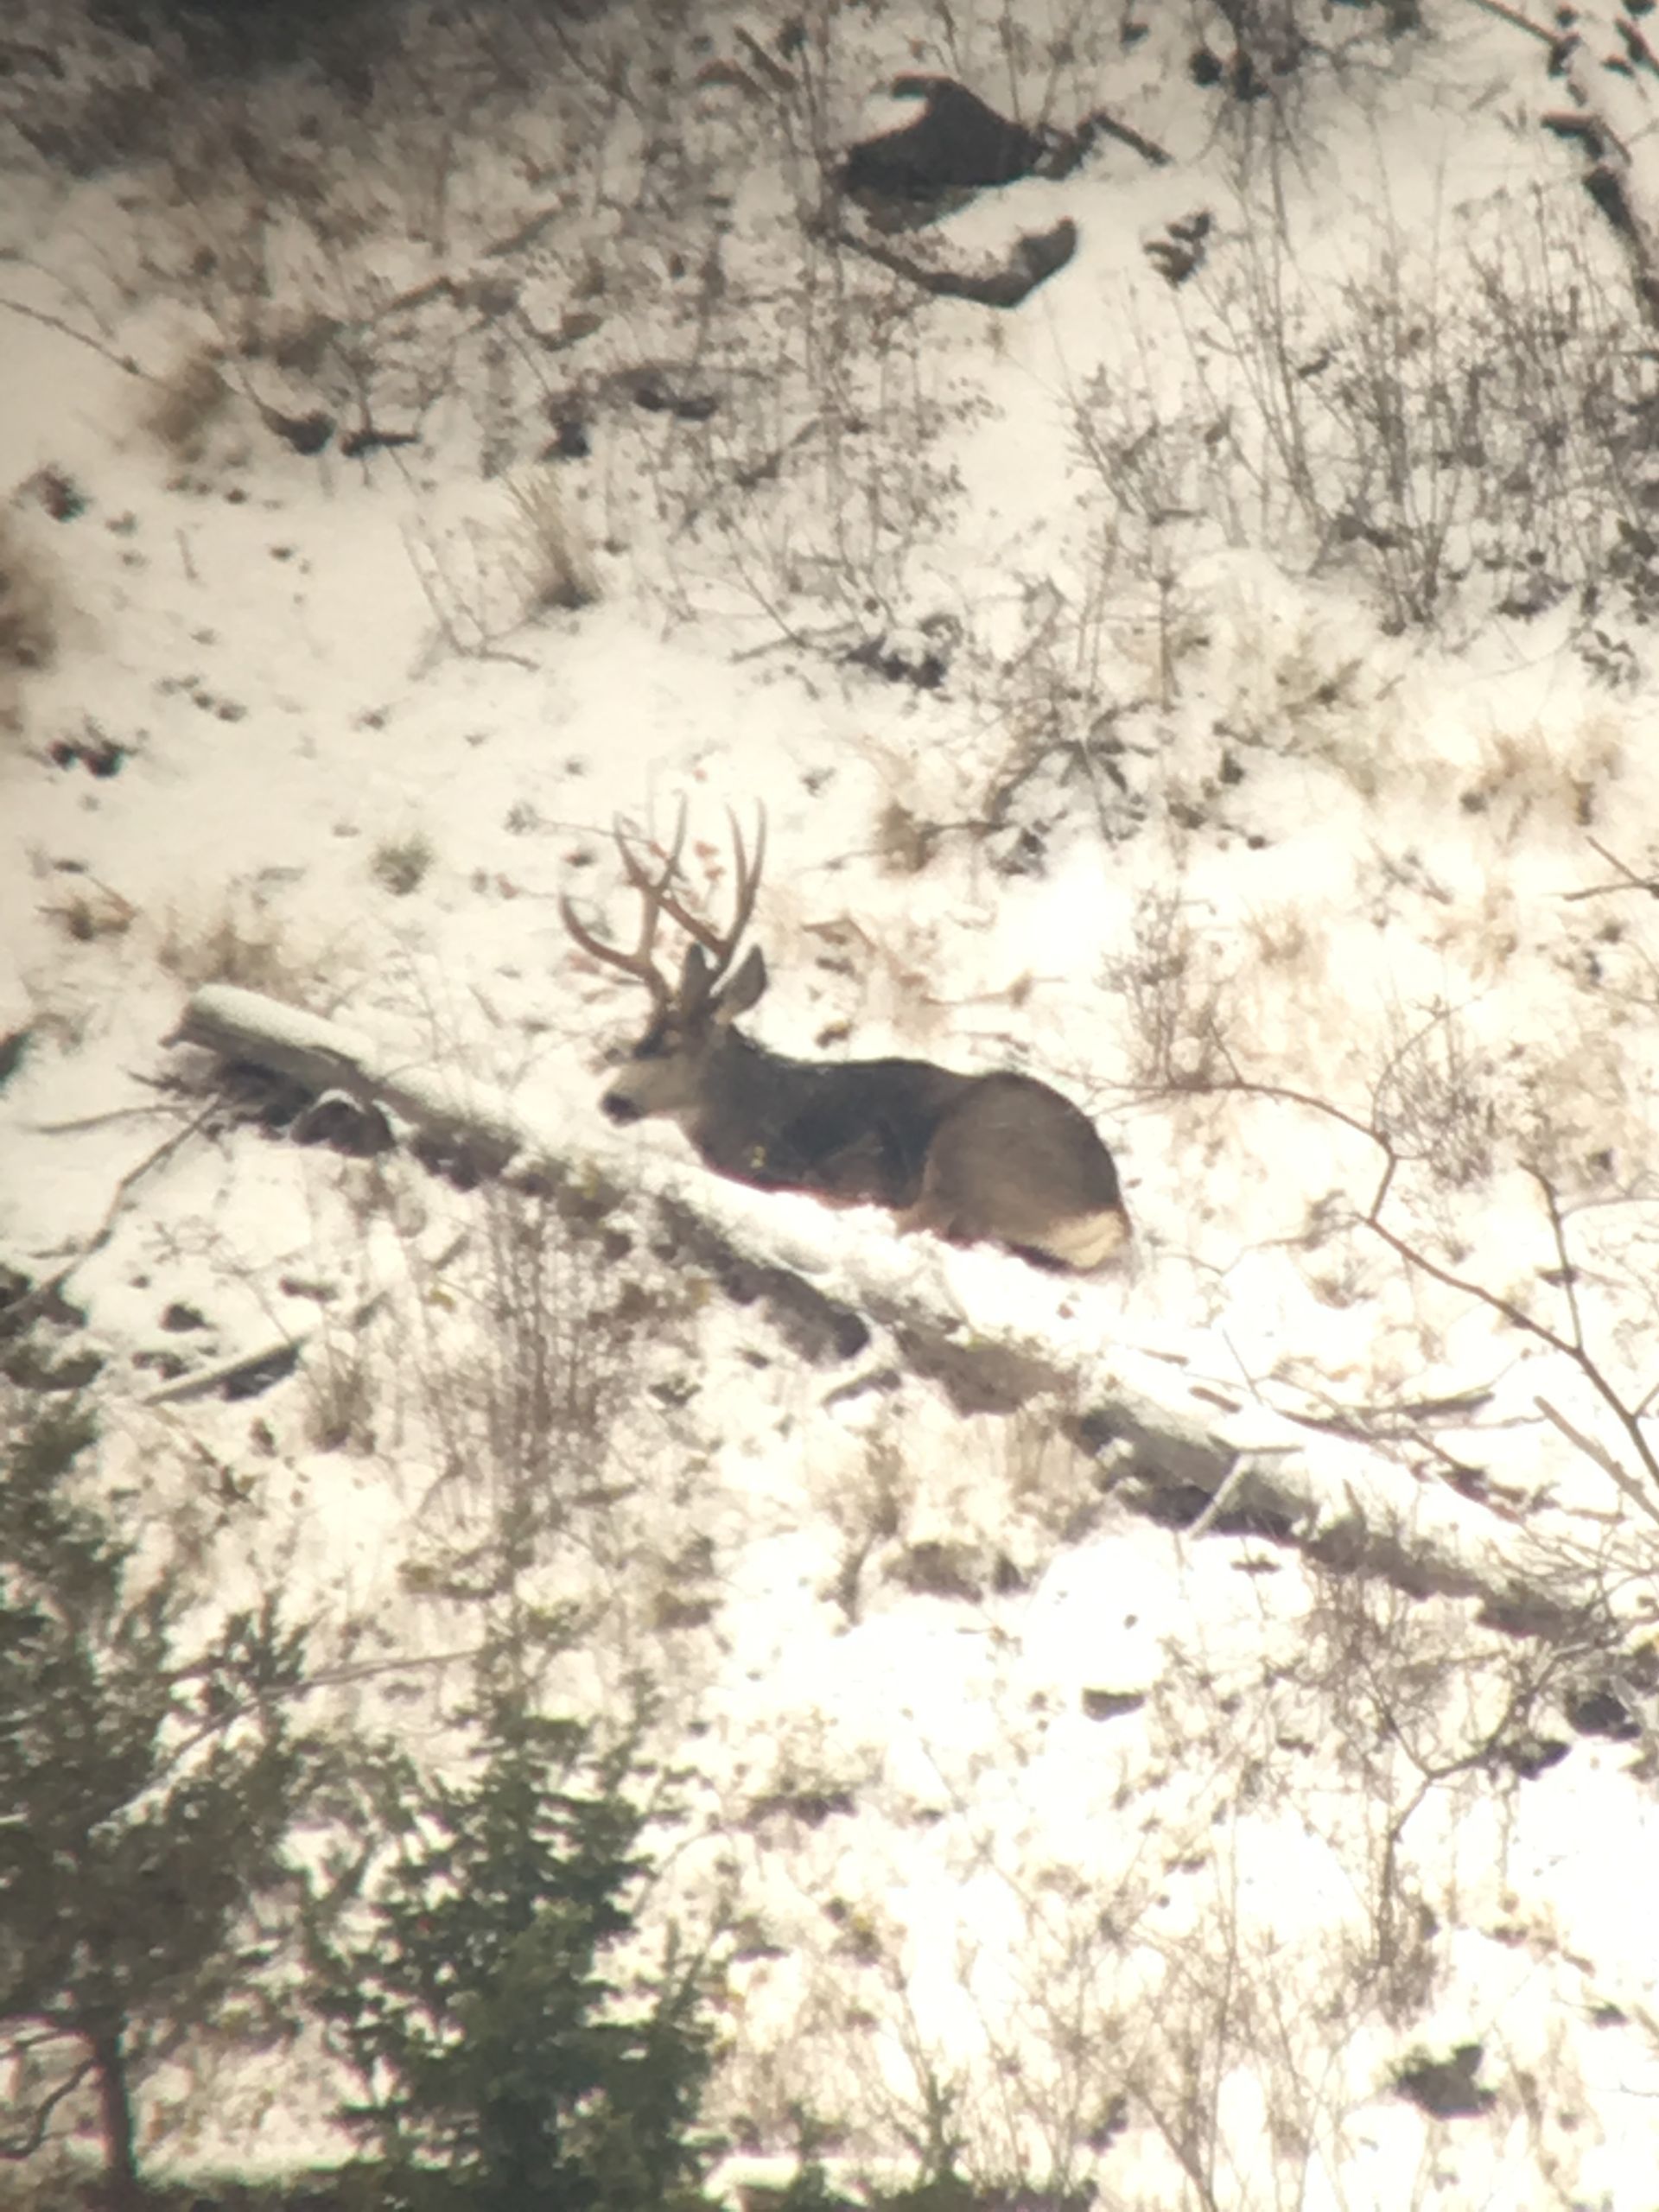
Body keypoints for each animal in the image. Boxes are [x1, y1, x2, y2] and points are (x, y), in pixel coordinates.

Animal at [559, 807, 1130, 1272]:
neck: (762, 1110)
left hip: (970, 1157)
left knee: (916, 1220)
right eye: (641, 1037)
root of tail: (1111, 1213)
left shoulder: (856, 1164)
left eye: (673, 1046)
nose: (613, 1101)